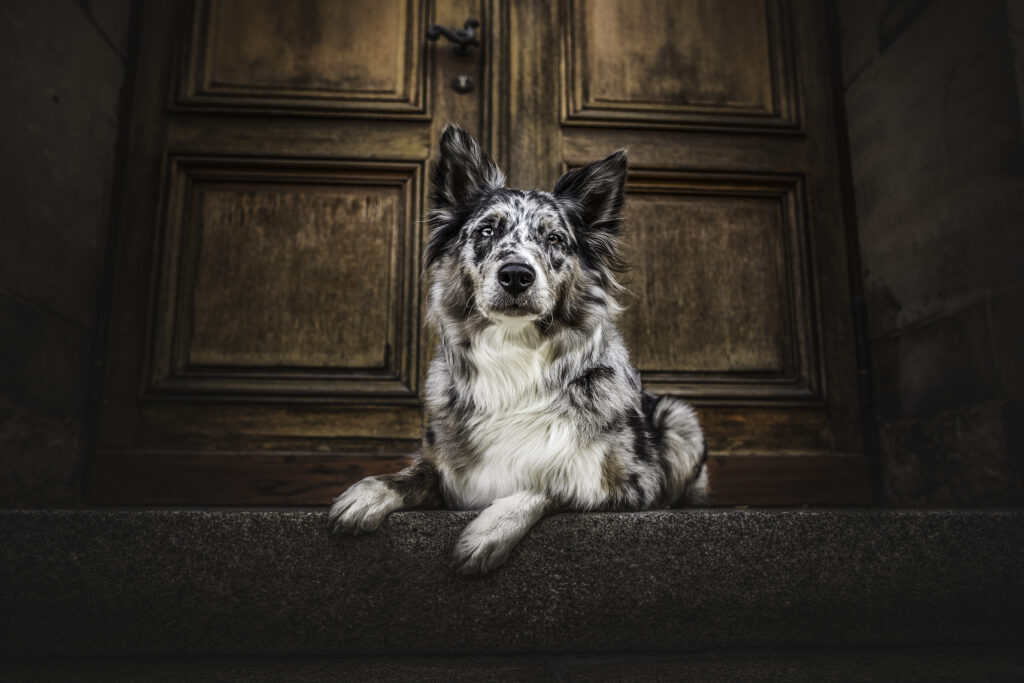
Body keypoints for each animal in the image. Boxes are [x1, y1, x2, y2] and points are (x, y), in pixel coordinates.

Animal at [327, 125, 704, 573]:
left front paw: (488, 531)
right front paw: (367, 493)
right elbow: (413, 472)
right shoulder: (448, 466)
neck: (513, 352)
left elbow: (553, 484)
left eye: (554, 237)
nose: (516, 275)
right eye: (487, 231)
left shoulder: (634, 481)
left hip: (680, 420)